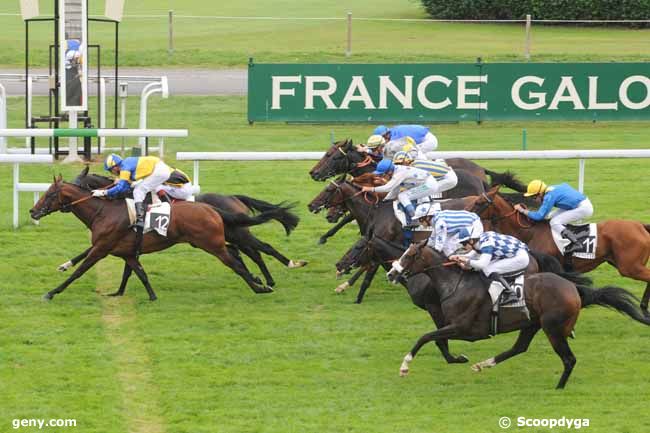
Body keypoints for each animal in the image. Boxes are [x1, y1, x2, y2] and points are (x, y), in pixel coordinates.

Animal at [27, 176, 286, 300]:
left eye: (49, 194)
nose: (32, 211)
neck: (104, 211)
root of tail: (213, 208)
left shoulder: (101, 248)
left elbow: (79, 271)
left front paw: (52, 292)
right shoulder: (126, 251)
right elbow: (137, 272)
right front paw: (141, 295)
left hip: (215, 242)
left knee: (244, 258)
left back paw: (262, 285)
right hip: (212, 241)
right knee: (240, 253)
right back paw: (262, 280)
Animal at [66, 167, 306, 288]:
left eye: (79, 184)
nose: (68, 203)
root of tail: (233, 197)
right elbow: (89, 251)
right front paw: (65, 264)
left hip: (238, 233)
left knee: (262, 248)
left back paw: (287, 266)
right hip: (232, 235)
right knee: (251, 252)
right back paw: (265, 278)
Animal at [384, 240, 648, 388]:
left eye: (409, 255)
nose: (391, 273)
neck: (455, 284)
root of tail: (574, 289)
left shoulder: (464, 328)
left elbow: (426, 337)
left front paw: (404, 367)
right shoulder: (453, 325)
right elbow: (435, 339)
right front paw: (458, 359)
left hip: (552, 328)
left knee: (568, 359)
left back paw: (559, 387)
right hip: (532, 324)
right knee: (519, 348)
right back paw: (483, 365)